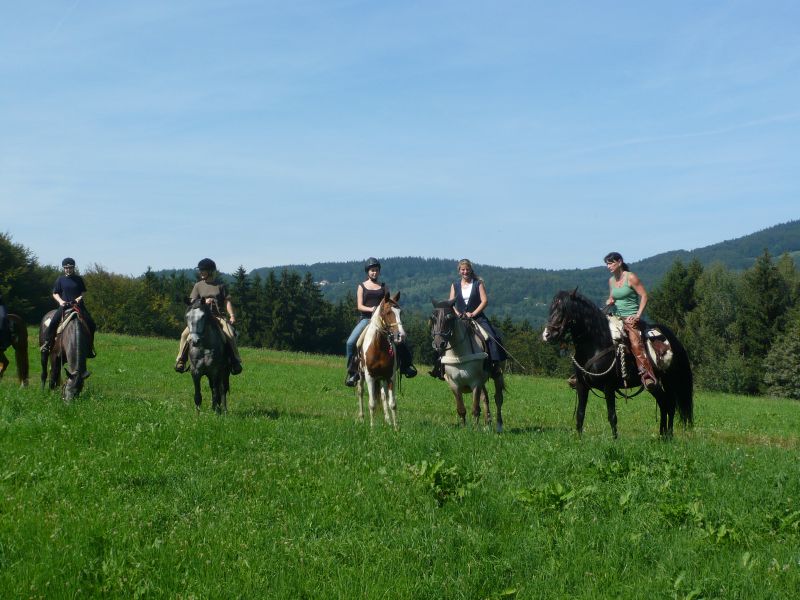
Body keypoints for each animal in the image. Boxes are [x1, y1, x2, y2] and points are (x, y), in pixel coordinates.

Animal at [356, 292, 406, 428]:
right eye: (388, 312)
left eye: (400, 312)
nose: (401, 336)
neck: (378, 346)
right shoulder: (370, 377)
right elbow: (372, 403)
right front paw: (372, 428)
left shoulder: (390, 377)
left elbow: (392, 403)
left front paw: (396, 427)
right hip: (361, 376)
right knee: (360, 392)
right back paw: (361, 418)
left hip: (382, 379)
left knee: (383, 396)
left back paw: (387, 420)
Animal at [432, 298, 506, 432]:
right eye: (432, 318)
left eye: (449, 318)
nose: (438, 344)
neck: (459, 354)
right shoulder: (454, 384)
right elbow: (461, 409)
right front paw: (463, 428)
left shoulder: (475, 382)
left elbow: (475, 408)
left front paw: (475, 429)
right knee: (485, 398)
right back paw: (487, 424)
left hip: (498, 375)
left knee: (498, 399)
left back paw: (498, 426)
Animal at [544, 288, 692, 438]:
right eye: (551, 309)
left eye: (563, 310)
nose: (547, 334)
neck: (596, 344)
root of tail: (674, 340)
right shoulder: (581, 386)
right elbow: (580, 415)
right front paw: (579, 439)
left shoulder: (608, 387)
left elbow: (612, 415)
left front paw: (615, 440)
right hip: (655, 385)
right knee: (664, 403)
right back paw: (663, 435)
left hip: (670, 380)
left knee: (670, 404)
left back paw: (669, 435)